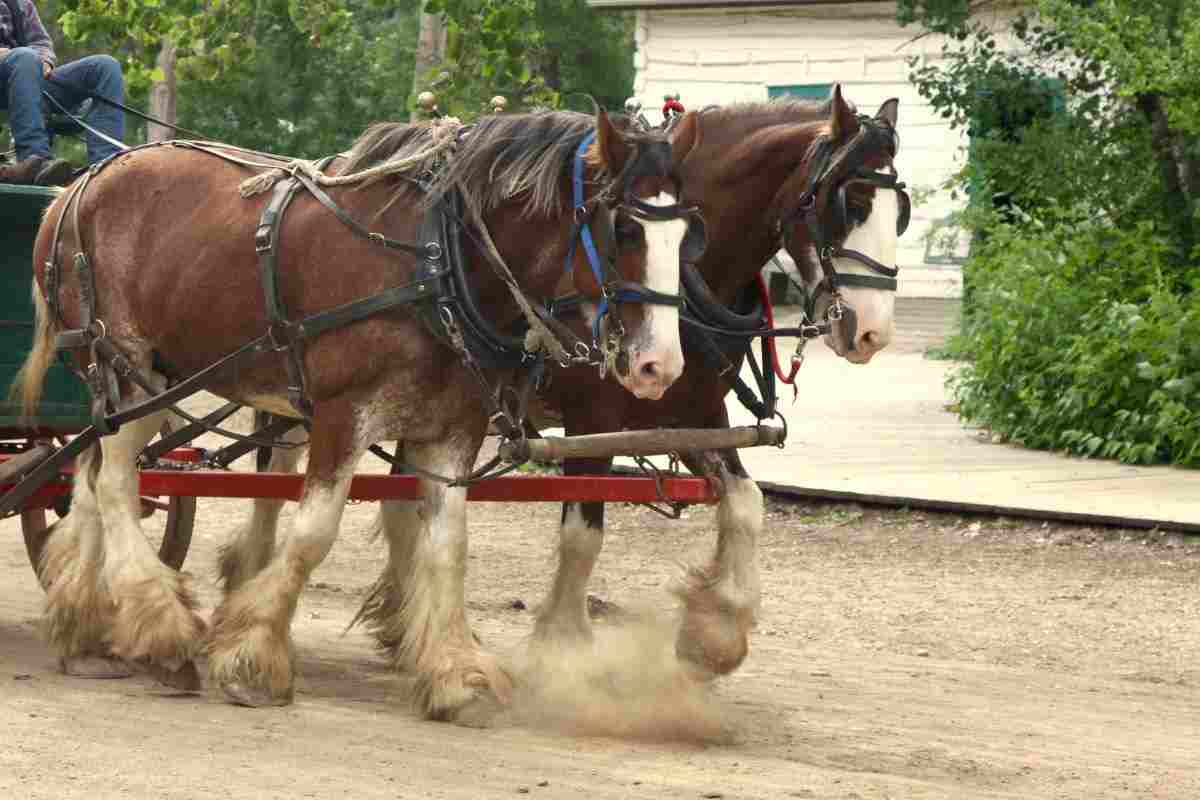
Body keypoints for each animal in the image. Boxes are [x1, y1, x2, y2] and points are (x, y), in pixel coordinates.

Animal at [15, 107, 701, 720]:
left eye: (687, 236)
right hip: (122, 367)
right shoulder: (343, 416)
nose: (660, 367)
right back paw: (160, 627)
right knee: (115, 484)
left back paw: (86, 628)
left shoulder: (454, 430)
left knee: (90, 484)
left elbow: (447, 546)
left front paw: (457, 676)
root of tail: (76, 186)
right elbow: (313, 535)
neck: (437, 264)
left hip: (141, 382)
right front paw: (253, 657)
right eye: (625, 229)